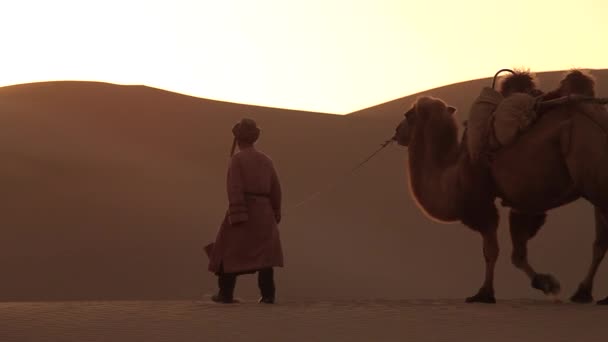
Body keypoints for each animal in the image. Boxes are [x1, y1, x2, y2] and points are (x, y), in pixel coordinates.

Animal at [392, 70, 608, 304]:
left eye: (407, 115)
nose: (397, 132)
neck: (452, 175)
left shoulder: (480, 202)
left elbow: (491, 250)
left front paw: (484, 293)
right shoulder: (524, 202)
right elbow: (518, 254)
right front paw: (545, 283)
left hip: (590, 172)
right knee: (600, 241)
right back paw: (584, 293)